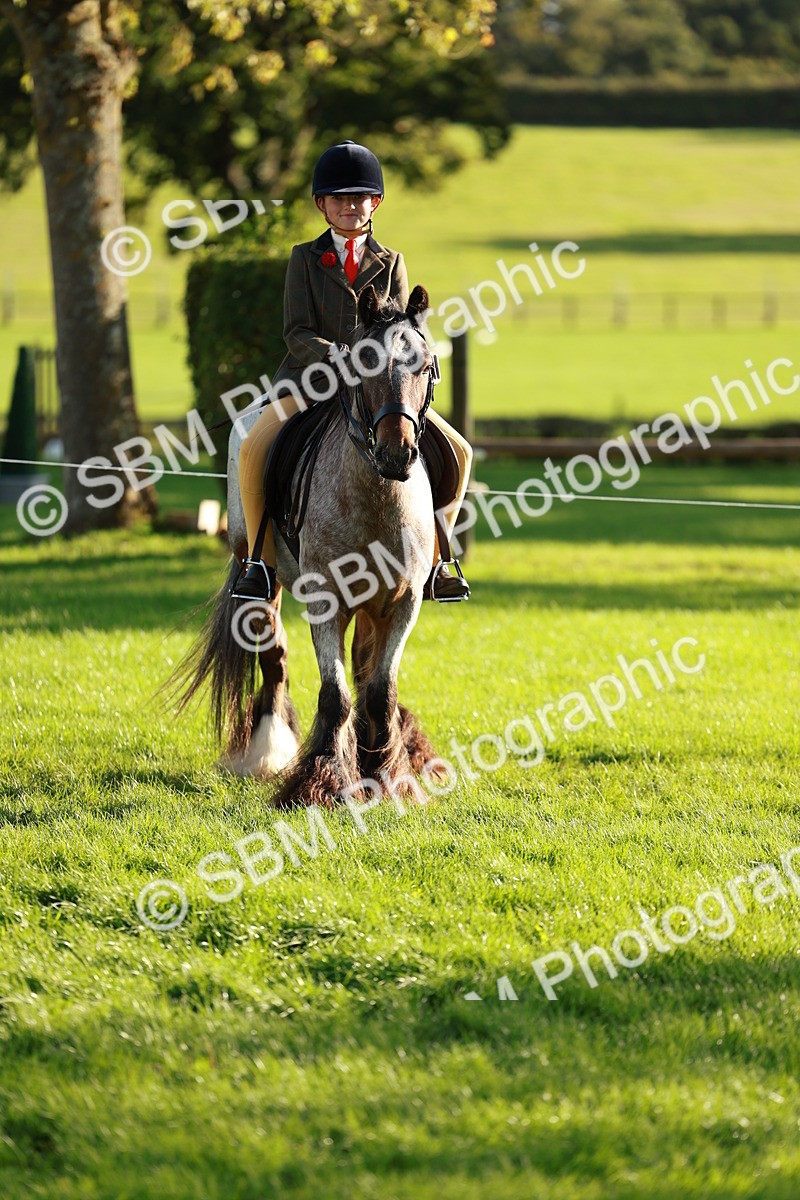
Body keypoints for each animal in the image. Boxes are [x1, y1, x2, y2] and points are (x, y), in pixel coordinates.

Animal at [173, 283, 446, 809]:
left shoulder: (403, 603)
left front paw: (390, 778)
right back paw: (266, 753)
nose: (397, 453)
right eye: (364, 365)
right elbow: (334, 695)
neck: (378, 495)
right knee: (274, 657)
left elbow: (379, 691)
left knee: (361, 671)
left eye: (424, 366)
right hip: (259, 573)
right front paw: (325, 783)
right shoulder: (326, 599)